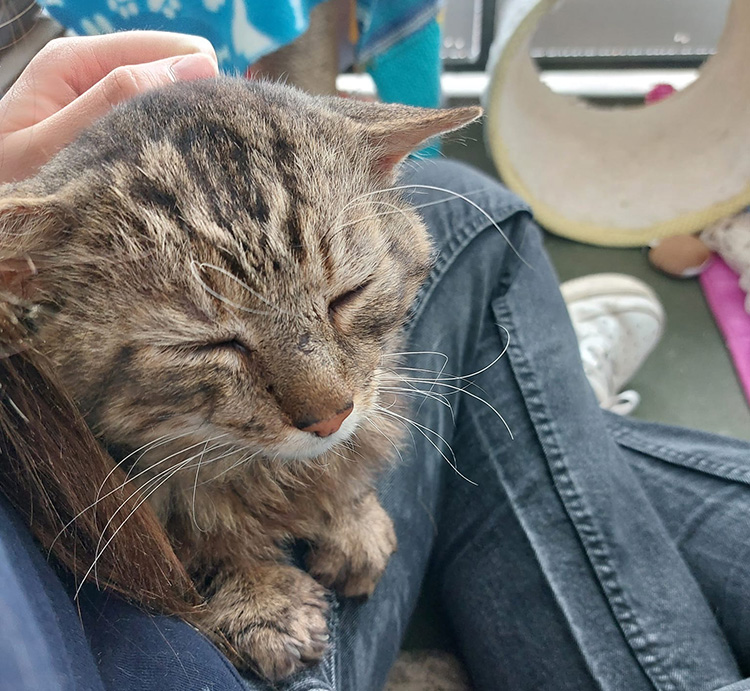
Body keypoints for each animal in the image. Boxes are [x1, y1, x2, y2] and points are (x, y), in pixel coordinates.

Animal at [0, 77, 482, 680]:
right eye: (206, 345)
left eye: (349, 295)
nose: (329, 416)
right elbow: (181, 544)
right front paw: (257, 597)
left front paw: (353, 515)